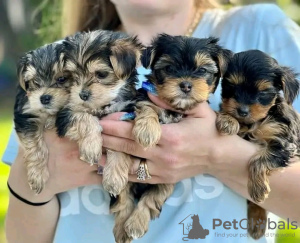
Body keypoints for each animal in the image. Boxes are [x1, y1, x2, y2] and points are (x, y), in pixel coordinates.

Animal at [14, 42, 72, 194]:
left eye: (62, 79)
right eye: (35, 81)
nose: (44, 98)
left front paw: (51, 119)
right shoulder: (26, 113)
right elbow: (34, 145)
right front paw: (37, 175)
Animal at [110, 34, 232, 243]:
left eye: (202, 70)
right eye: (169, 68)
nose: (185, 85)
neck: (175, 108)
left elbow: (152, 199)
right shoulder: (144, 99)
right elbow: (148, 107)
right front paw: (147, 131)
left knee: (152, 196)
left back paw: (134, 224)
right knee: (122, 197)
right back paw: (122, 228)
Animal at [216, 49, 300, 239]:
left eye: (262, 93)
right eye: (231, 87)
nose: (242, 111)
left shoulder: (283, 140)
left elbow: (259, 160)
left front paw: (257, 188)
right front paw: (228, 119)